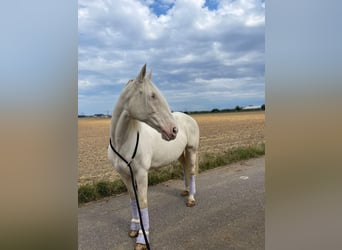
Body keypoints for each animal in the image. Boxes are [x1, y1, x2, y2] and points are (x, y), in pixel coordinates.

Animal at [107, 65, 200, 250]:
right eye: (152, 96)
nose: (174, 130)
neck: (123, 141)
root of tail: (189, 118)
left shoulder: (142, 174)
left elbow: (143, 202)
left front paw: (142, 239)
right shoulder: (125, 175)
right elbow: (133, 200)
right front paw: (134, 228)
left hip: (192, 151)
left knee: (192, 172)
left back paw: (191, 199)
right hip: (181, 154)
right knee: (185, 169)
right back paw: (186, 191)